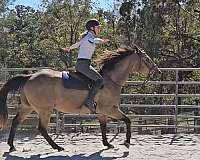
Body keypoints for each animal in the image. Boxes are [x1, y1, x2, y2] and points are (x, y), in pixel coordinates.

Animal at [0, 45, 160, 152]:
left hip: (28, 107)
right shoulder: (110, 109)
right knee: (42, 128)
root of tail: (29, 77)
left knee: (16, 122)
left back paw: (12, 146)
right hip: (44, 110)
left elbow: (103, 127)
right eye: (146, 59)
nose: (157, 71)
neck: (110, 80)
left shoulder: (102, 112)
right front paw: (126, 142)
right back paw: (57, 147)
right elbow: (127, 120)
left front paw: (107, 144)